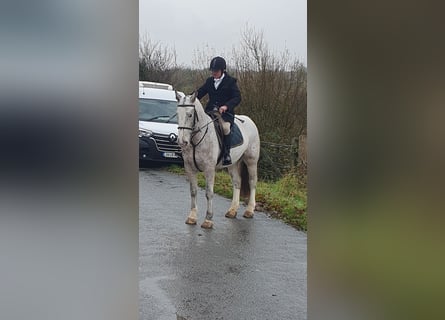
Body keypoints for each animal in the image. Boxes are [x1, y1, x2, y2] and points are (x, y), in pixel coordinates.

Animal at [175, 91, 260, 229]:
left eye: (190, 114)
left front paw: (208, 220)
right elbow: (193, 191)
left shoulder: (209, 169)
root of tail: (249, 120)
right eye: (178, 114)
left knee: (252, 182)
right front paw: (192, 217)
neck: (196, 140)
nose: (182, 141)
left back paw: (249, 210)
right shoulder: (189, 168)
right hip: (233, 164)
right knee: (237, 182)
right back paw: (232, 210)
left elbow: (209, 193)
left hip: (251, 161)